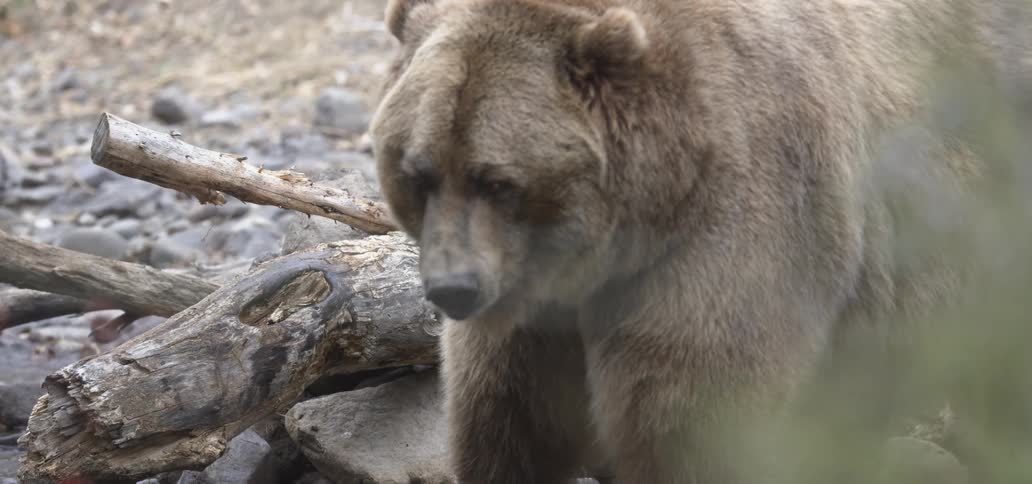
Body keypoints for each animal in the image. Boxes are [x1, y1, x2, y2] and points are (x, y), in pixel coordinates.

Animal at [368, 0, 1022, 482]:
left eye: (498, 180)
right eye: (419, 171)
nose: (453, 288)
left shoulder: (730, 229)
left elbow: (692, 419)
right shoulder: (533, 319)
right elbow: (508, 419)